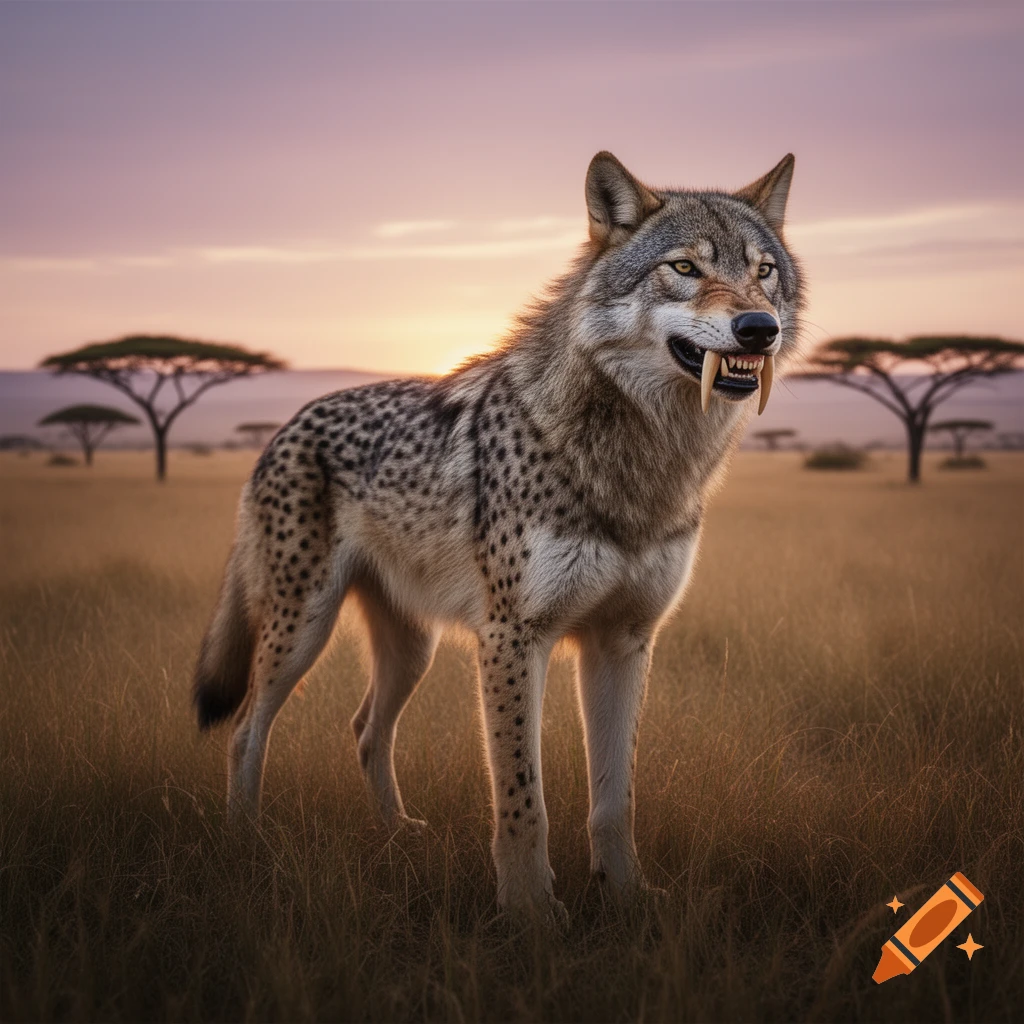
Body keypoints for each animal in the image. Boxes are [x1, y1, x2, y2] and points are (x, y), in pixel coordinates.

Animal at [193, 151, 803, 920]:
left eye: (764, 271)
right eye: (685, 268)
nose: (758, 327)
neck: (642, 463)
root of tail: (286, 426)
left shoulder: (625, 640)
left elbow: (615, 800)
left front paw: (627, 895)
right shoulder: (513, 636)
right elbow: (522, 799)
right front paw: (530, 912)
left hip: (413, 649)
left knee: (365, 731)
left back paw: (398, 834)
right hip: (301, 632)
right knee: (247, 728)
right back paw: (245, 846)